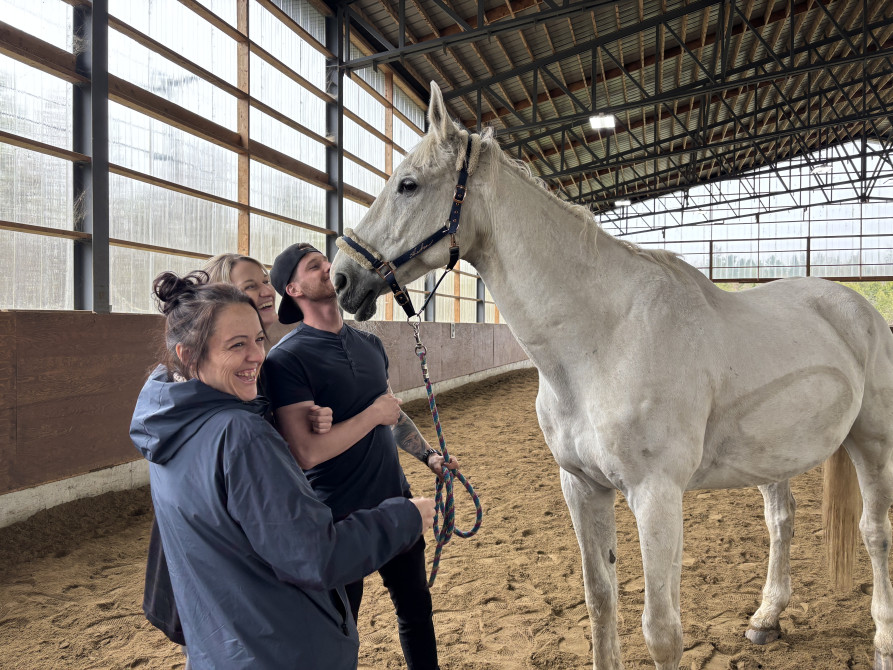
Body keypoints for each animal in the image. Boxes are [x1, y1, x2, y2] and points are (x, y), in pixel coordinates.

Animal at [331, 81, 893, 670]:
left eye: (408, 185)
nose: (342, 277)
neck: (603, 339)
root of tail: (859, 308)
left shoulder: (656, 496)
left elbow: (661, 631)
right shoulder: (582, 487)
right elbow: (600, 600)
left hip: (873, 442)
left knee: (874, 532)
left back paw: (881, 640)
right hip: (773, 458)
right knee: (781, 523)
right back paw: (767, 617)